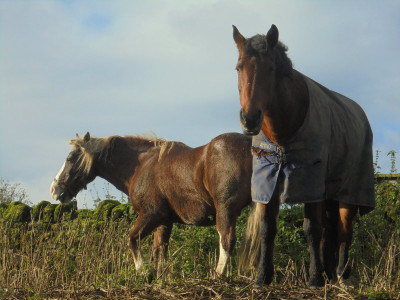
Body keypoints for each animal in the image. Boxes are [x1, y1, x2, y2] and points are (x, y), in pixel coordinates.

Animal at [49, 132, 250, 278]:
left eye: (70, 158)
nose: (54, 189)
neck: (143, 164)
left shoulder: (151, 215)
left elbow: (132, 240)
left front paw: (143, 272)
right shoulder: (164, 222)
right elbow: (159, 251)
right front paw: (160, 277)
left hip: (225, 210)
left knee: (226, 240)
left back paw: (218, 276)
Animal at [231, 24, 376, 288]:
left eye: (271, 68)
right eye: (239, 68)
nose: (250, 119)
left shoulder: (310, 183)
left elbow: (312, 229)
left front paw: (314, 278)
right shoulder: (268, 183)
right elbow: (268, 229)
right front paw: (262, 277)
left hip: (349, 192)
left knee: (344, 232)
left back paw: (341, 274)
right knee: (332, 231)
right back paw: (331, 273)